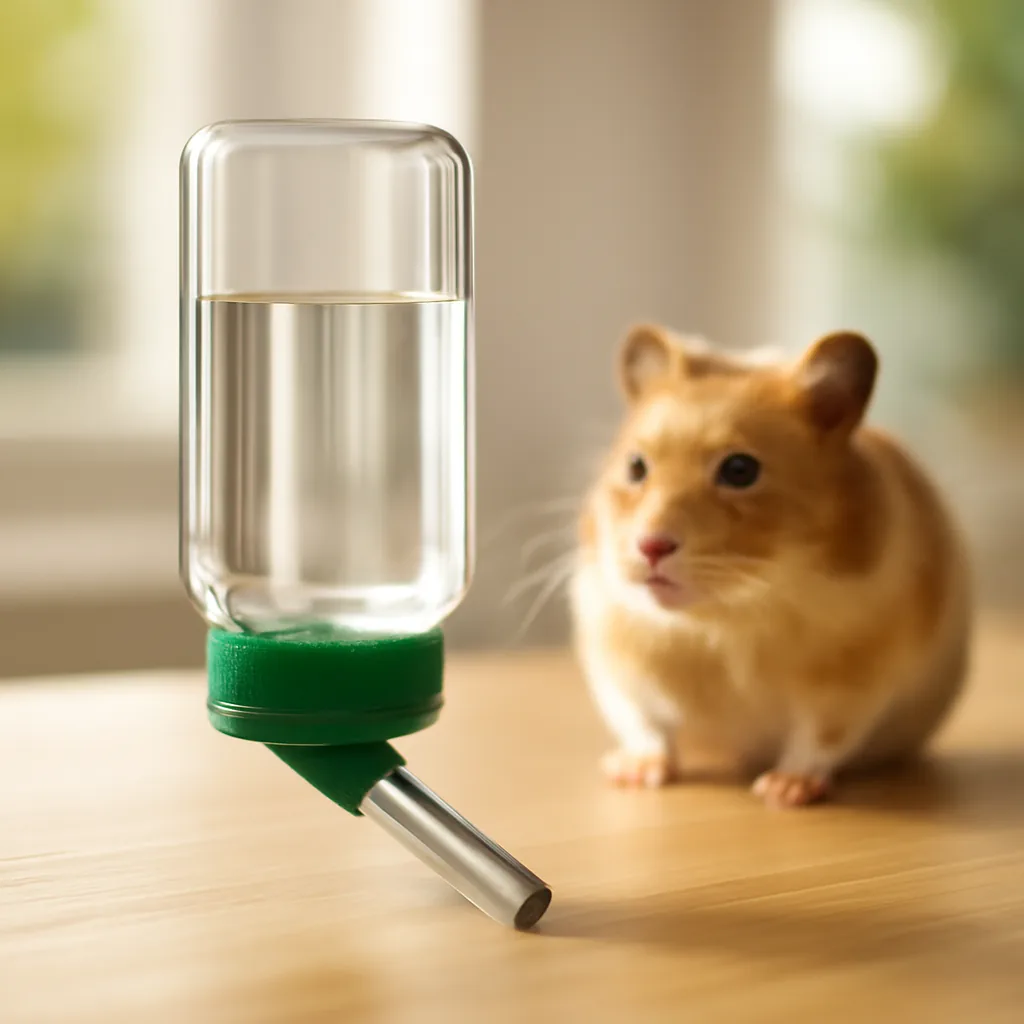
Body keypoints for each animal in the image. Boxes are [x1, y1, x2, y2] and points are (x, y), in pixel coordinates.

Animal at [570, 324, 971, 807]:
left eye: (740, 470)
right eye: (635, 466)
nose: (650, 546)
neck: (726, 615)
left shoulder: (852, 684)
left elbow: (818, 739)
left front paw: (782, 792)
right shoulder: (618, 666)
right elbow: (645, 725)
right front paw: (633, 774)